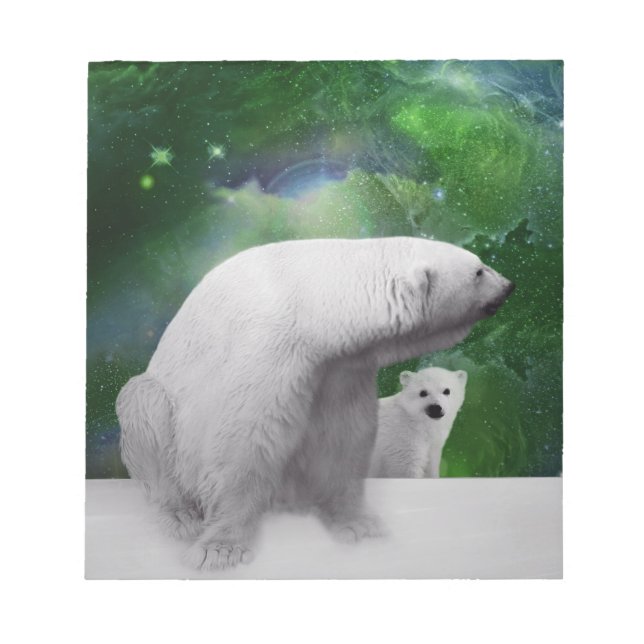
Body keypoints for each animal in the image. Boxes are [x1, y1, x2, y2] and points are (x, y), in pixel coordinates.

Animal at [116, 237, 514, 570]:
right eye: (479, 270)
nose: (510, 285)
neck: (315, 299)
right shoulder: (271, 349)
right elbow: (244, 442)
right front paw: (220, 549)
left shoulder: (339, 366)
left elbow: (342, 438)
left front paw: (359, 524)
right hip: (159, 411)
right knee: (143, 406)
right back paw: (180, 515)